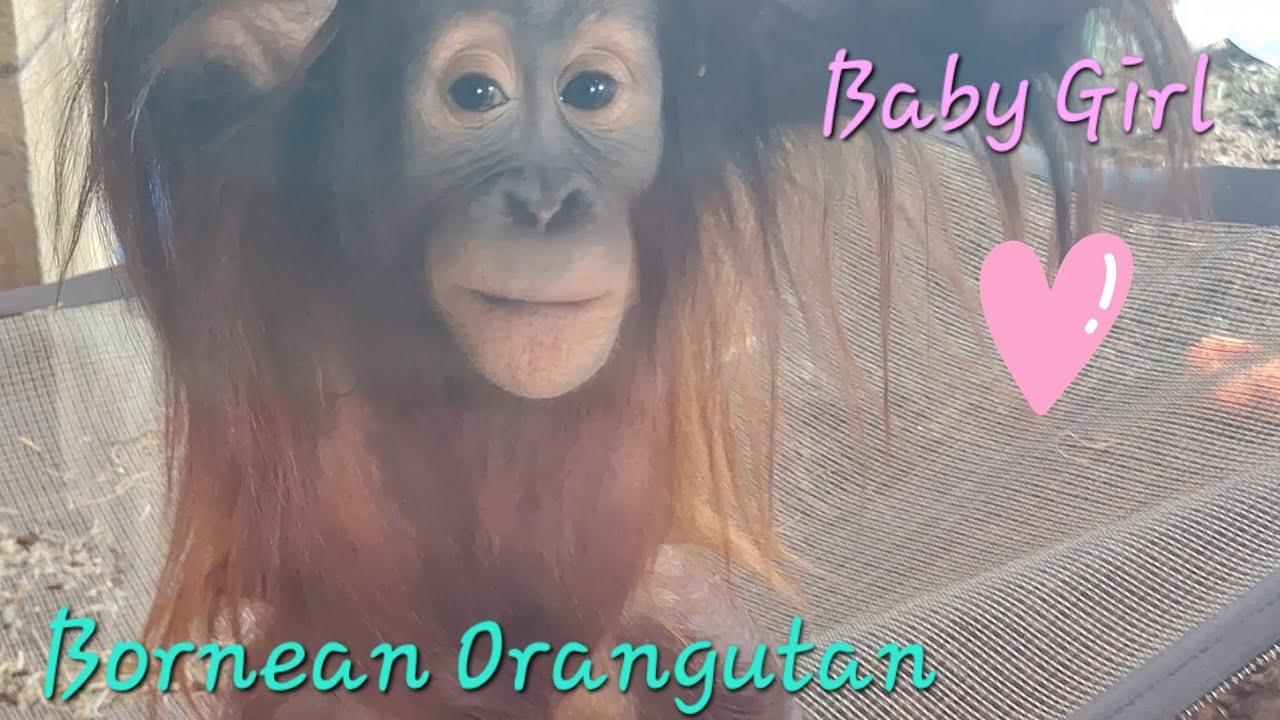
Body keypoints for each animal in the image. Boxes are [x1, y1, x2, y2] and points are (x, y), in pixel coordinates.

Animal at [53, 0, 1198, 718]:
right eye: (475, 96)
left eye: (593, 92)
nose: (546, 201)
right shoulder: (236, 113)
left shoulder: (740, 84)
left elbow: (985, 31)